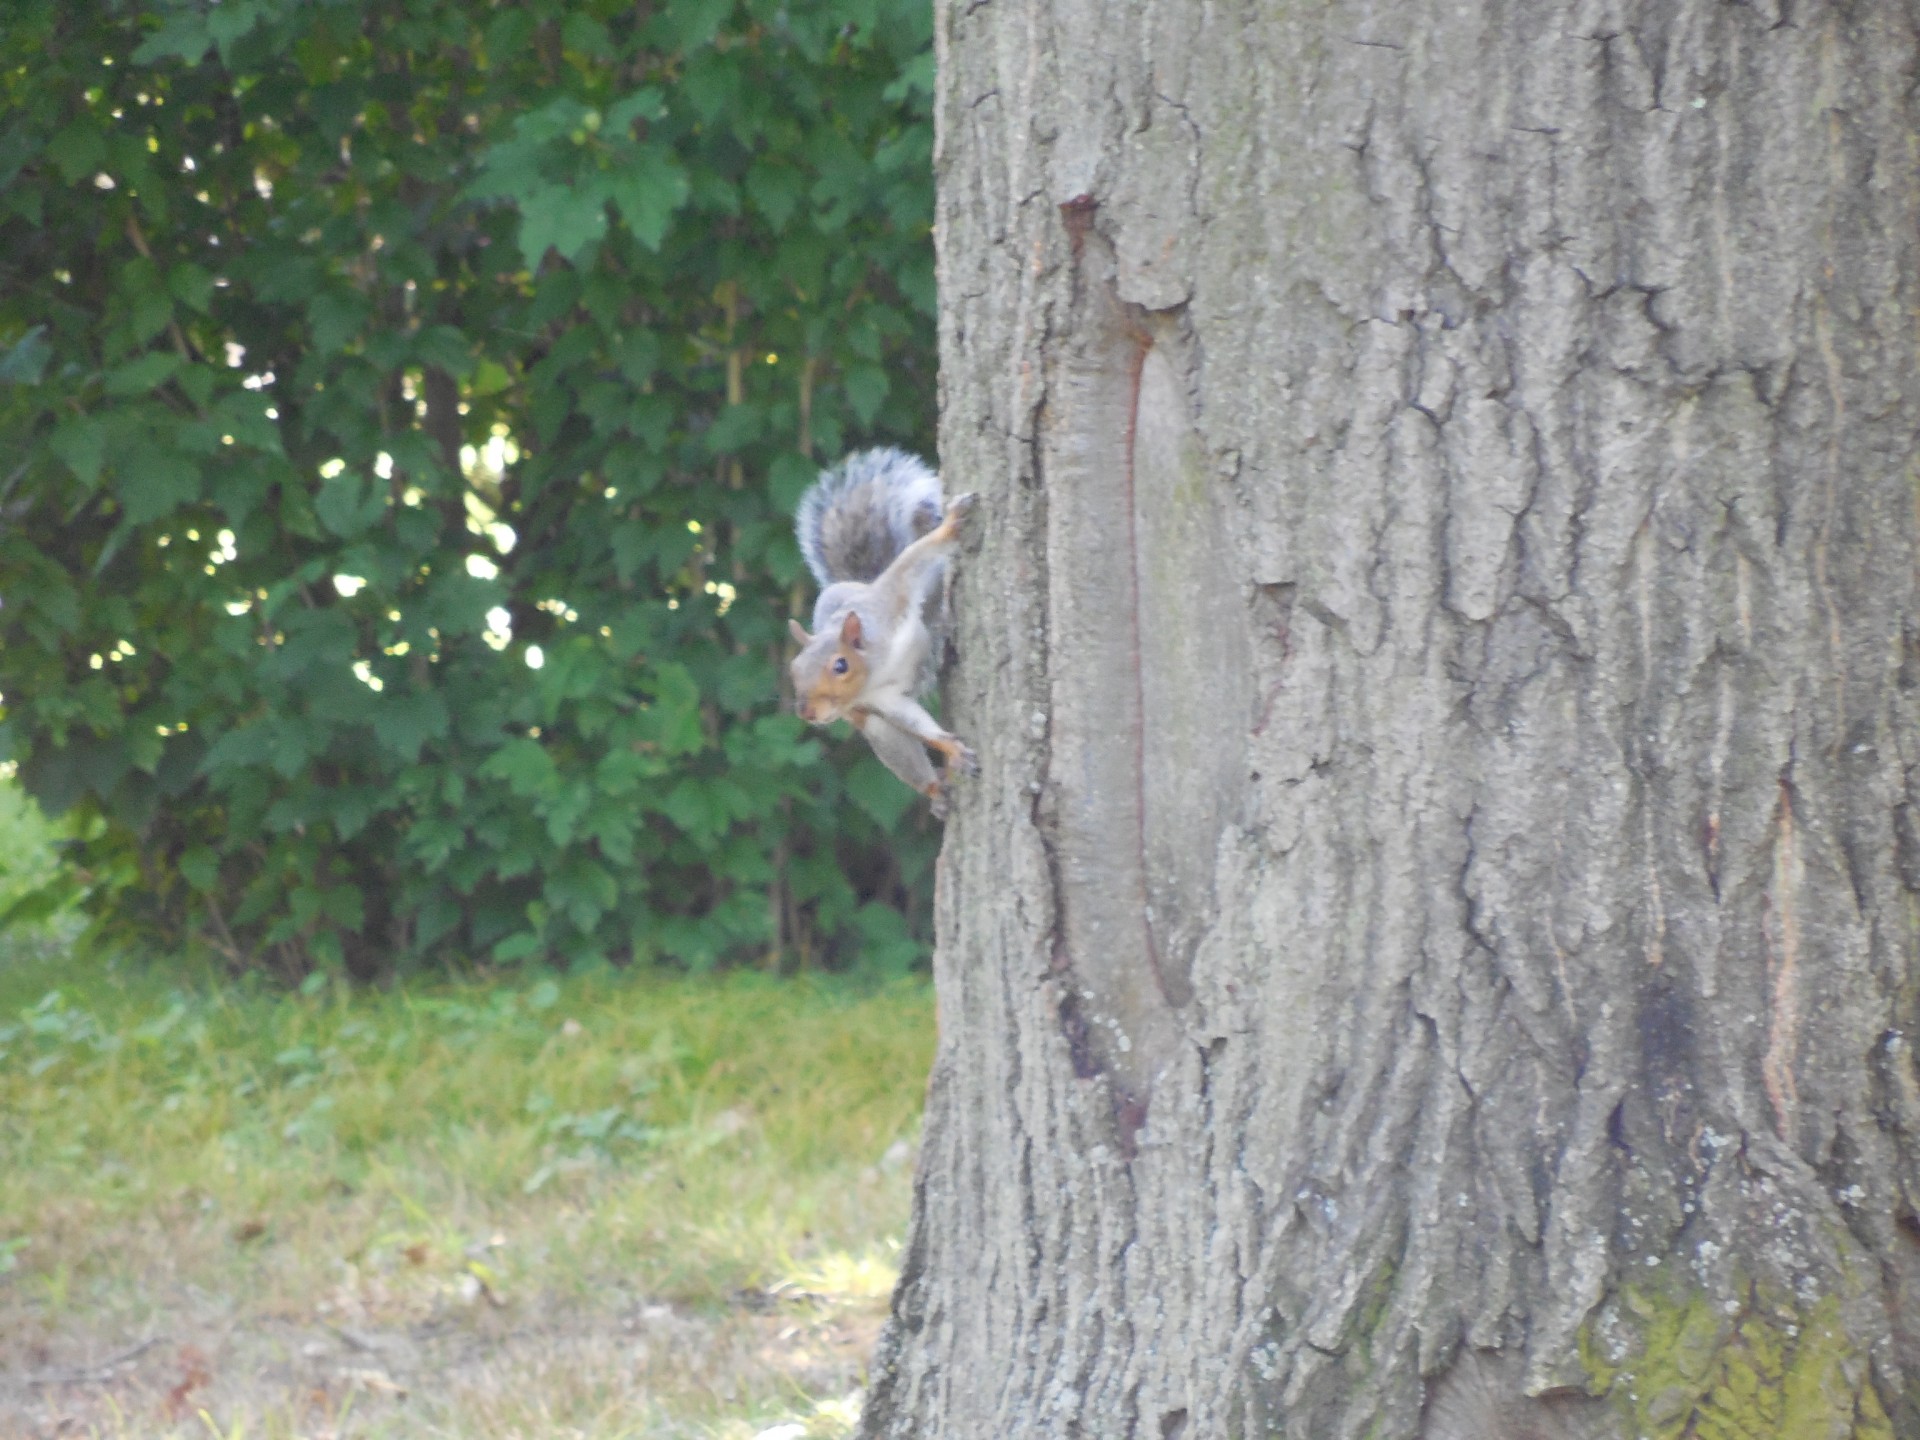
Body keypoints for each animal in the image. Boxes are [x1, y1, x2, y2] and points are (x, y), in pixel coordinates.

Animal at [787, 445, 983, 817]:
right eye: (793, 670)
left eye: (840, 665)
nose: (806, 712)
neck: (878, 666)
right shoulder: (882, 700)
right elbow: (913, 721)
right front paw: (951, 749)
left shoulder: (893, 596)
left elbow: (915, 558)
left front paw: (951, 526)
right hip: (869, 720)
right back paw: (935, 790)